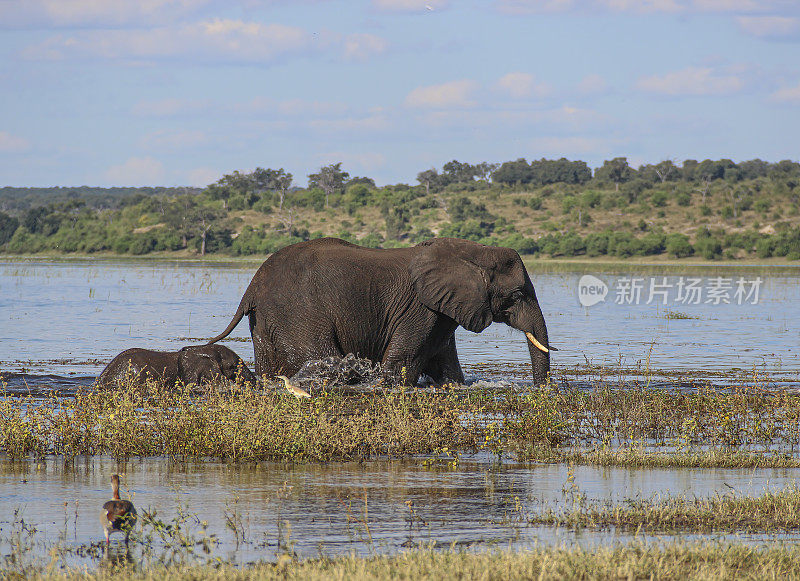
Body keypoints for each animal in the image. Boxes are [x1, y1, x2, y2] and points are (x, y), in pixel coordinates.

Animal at [206, 236, 552, 386]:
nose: (541, 390)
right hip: (298, 312)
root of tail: (253, 285)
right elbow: (404, 361)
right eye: (518, 294)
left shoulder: (441, 312)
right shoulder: (419, 308)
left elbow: (445, 364)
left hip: (267, 320)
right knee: (321, 354)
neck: (472, 251)